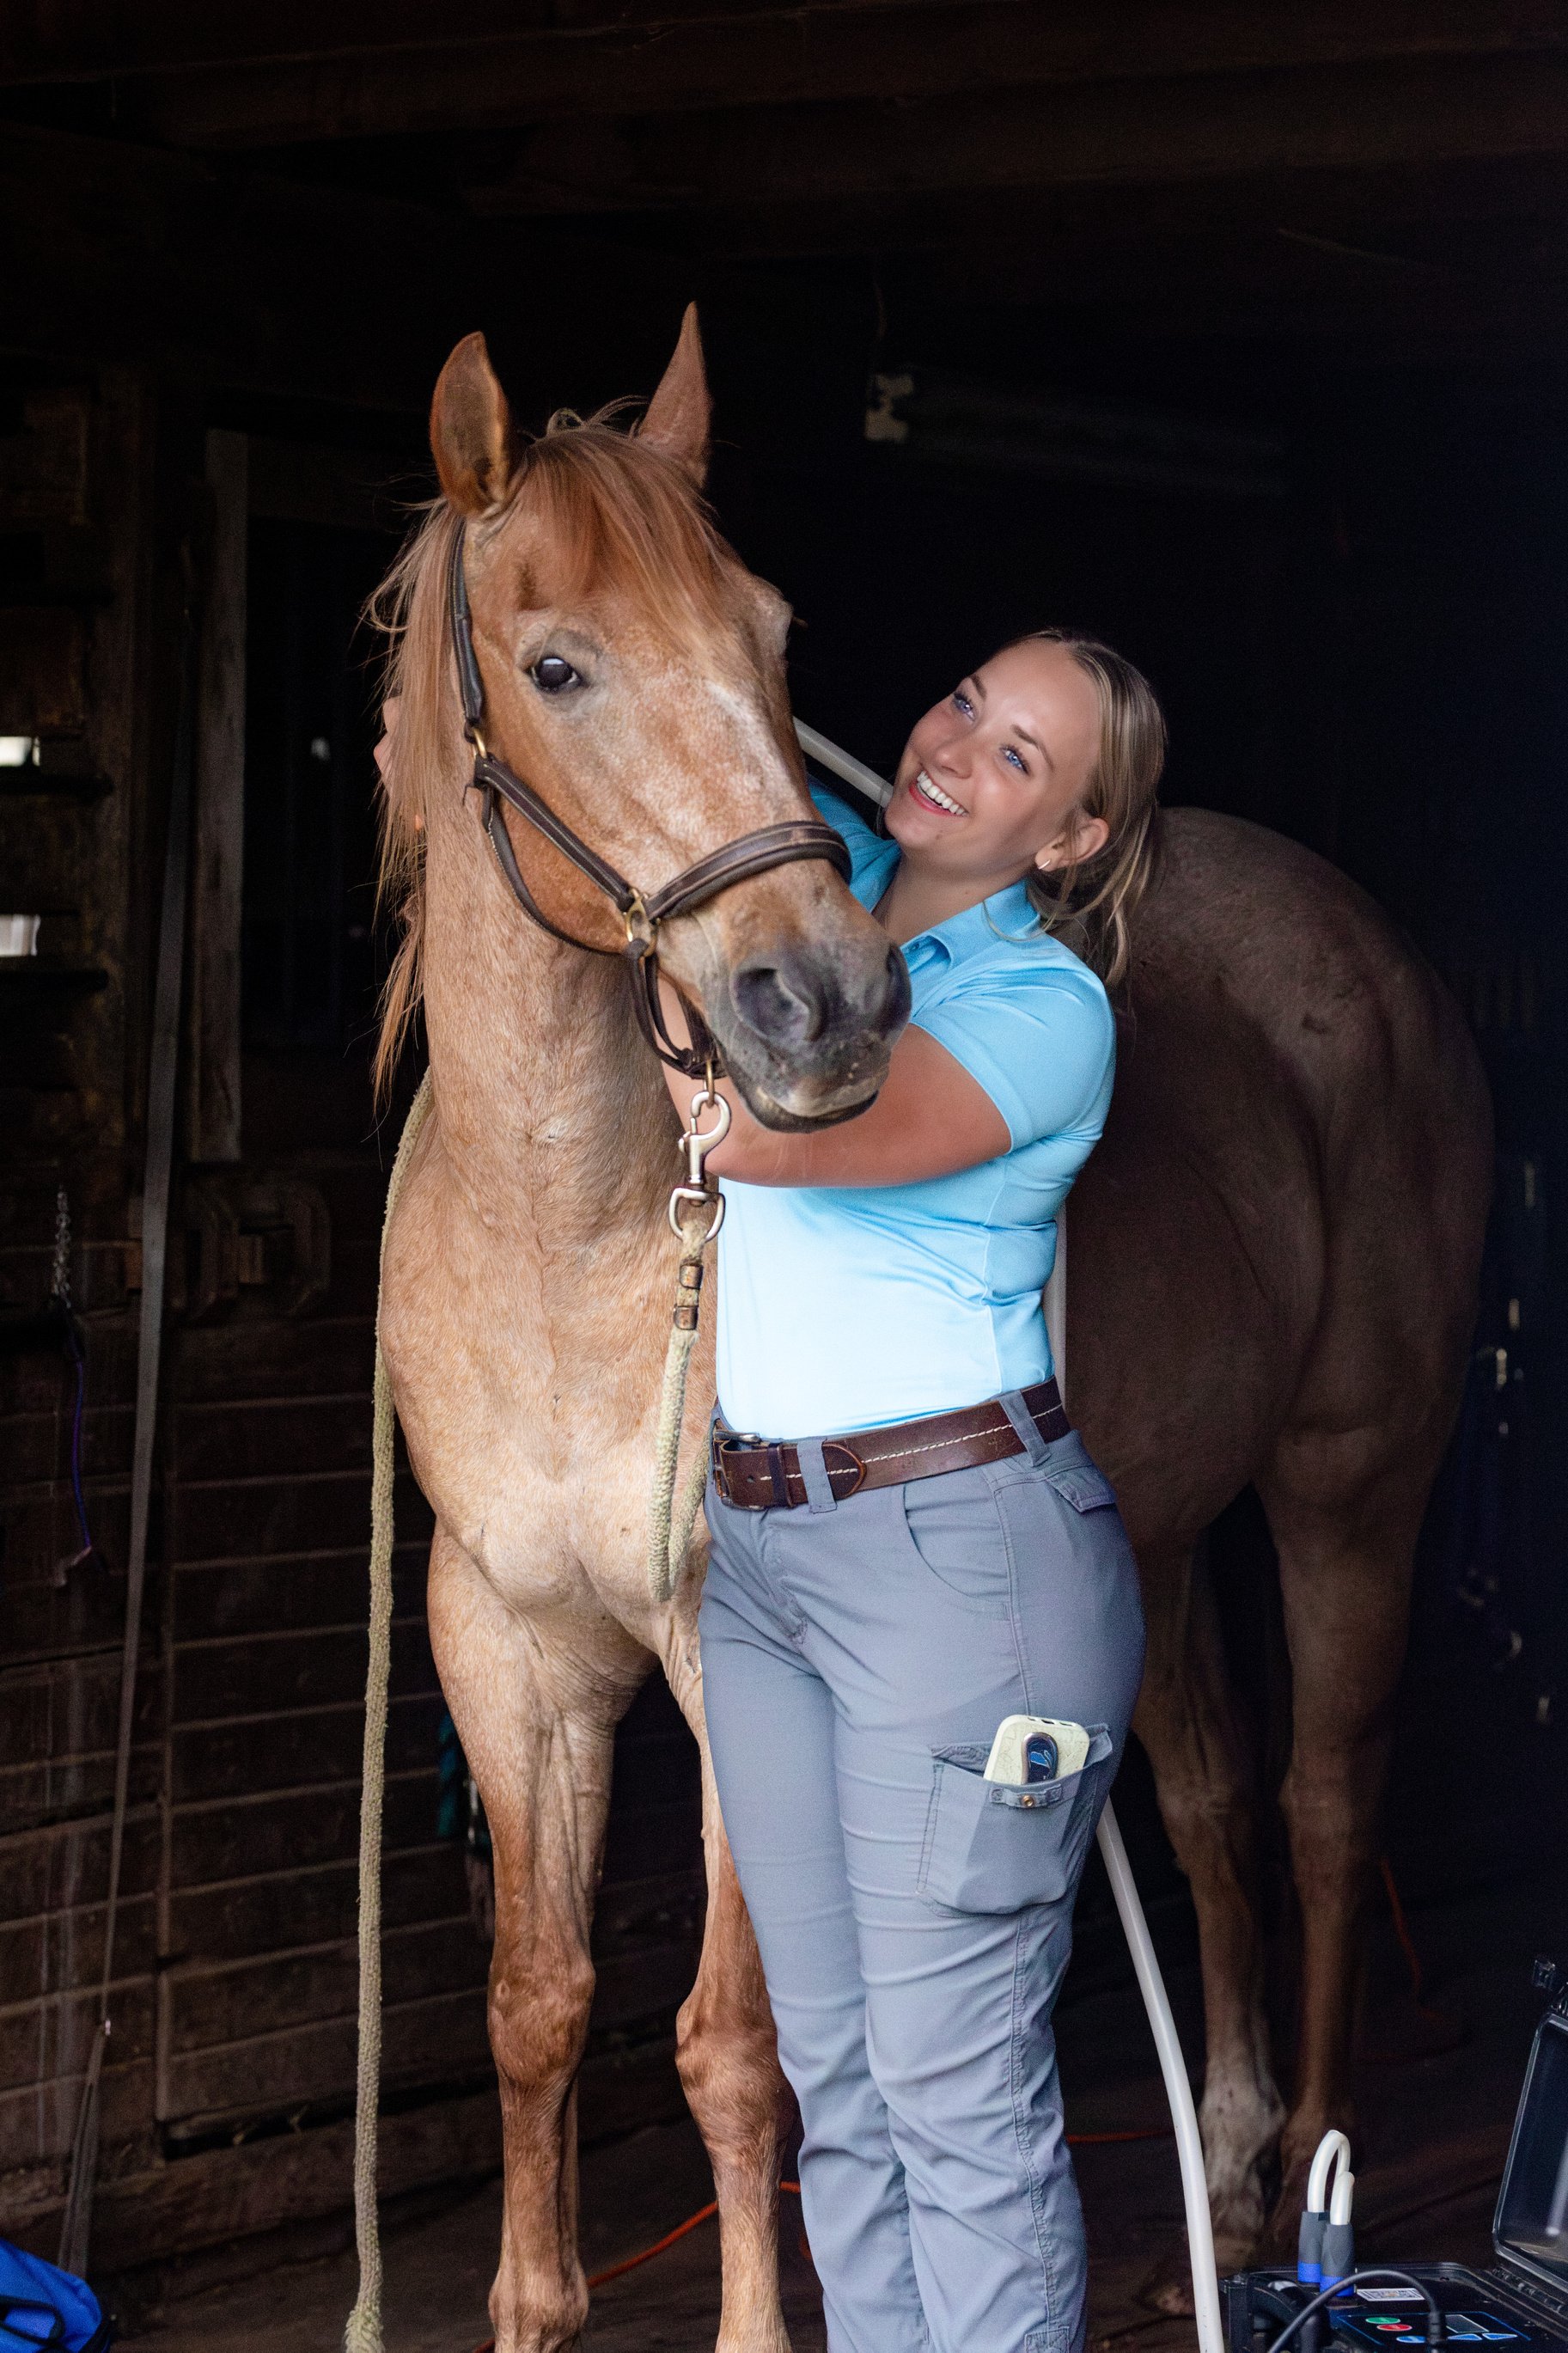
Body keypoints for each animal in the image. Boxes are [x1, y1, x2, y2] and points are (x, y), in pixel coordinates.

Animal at [373, 310, 1490, 2350]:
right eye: (558, 664)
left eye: (769, 634)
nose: (823, 1004)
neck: (567, 1234)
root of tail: (1365, 946)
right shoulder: (506, 1645)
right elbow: (537, 2008)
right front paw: (532, 2303)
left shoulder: (713, 1651)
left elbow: (734, 2047)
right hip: (1166, 1533)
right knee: (1210, 1802)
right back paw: (1218, 2163)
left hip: (1350, 1490)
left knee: (1320, 1802)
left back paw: (1307, 2192)